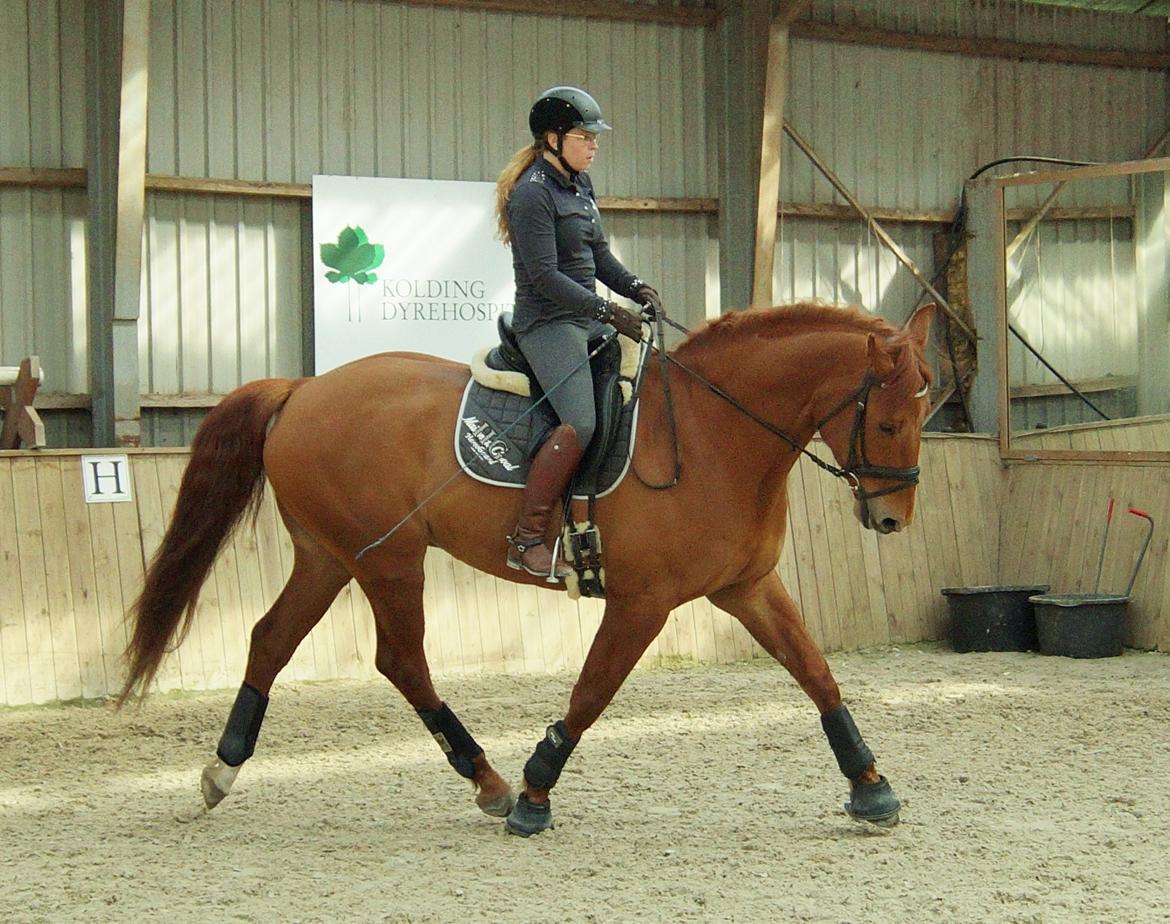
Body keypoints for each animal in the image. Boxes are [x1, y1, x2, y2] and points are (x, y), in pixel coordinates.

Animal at [118, 304, 935, 837]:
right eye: (889, 420)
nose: (893, 520)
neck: (713, 433)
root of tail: (301, 389)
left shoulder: (747, 586)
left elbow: (817, 674)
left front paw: (871, 786)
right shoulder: (643, 602)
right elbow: (592, 692)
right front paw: (537, 794)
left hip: (329, 556)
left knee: (270, 639)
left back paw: (222, 770)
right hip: (389, 560)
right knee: (400, 660)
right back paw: (489, 782)